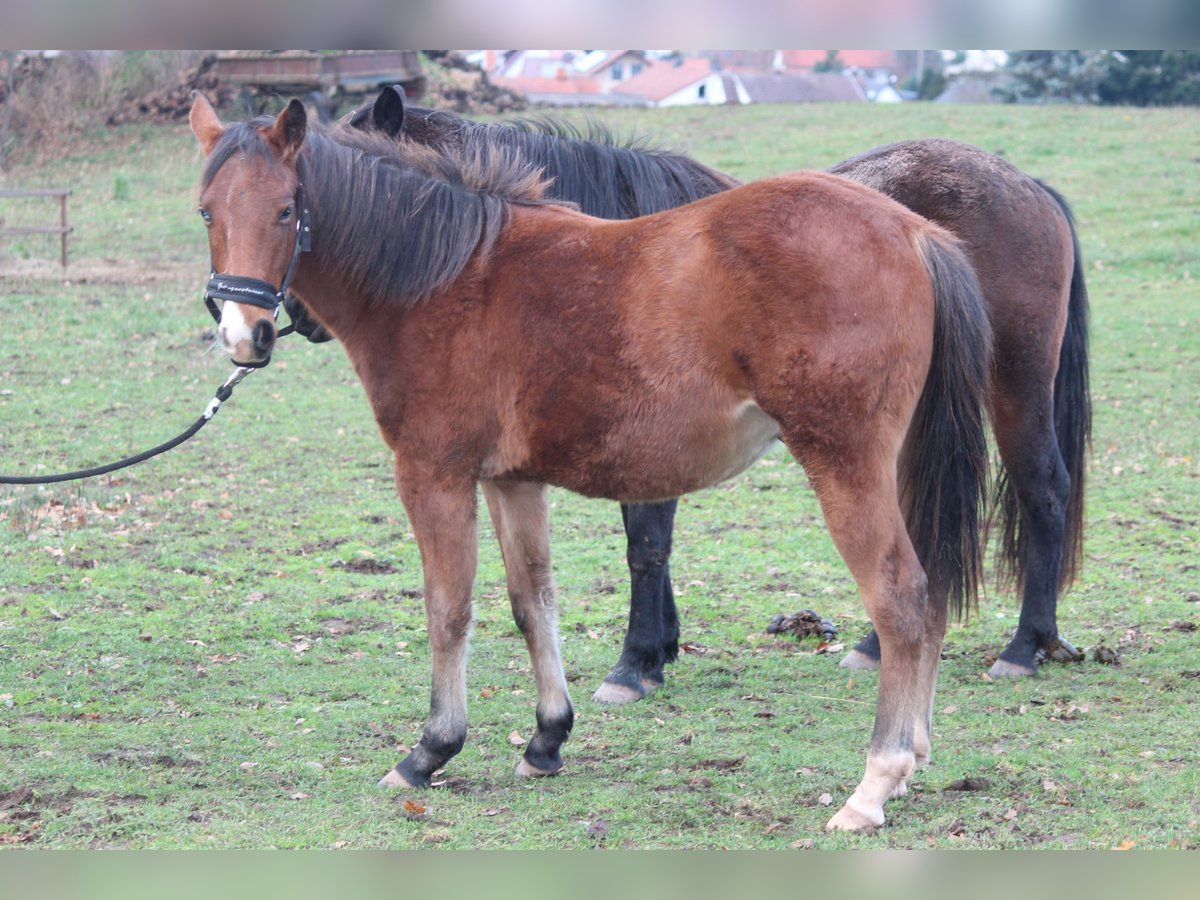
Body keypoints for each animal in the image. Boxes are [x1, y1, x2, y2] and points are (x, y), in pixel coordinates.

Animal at [190, 94, 992, 830]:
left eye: (288, 210)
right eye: (205, 212)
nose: (244, 334)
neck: (448, 274)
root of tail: (915, 231)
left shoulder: (433, 473)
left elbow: (449, 609)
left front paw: (429, 751)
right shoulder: (512, 481)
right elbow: (532, 601)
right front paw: (547, 739)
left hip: (845, 465)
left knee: (900, 598)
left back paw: (875, 783)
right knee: (928, 596)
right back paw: (914, 758)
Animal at [327, 85, 1090, 682]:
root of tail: (1031, 188)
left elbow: (646, 543)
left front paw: (636, 663)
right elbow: (648, 537)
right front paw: (661, 647)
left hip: (1012, 386)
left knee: (1043, 490)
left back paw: (1026, 645)